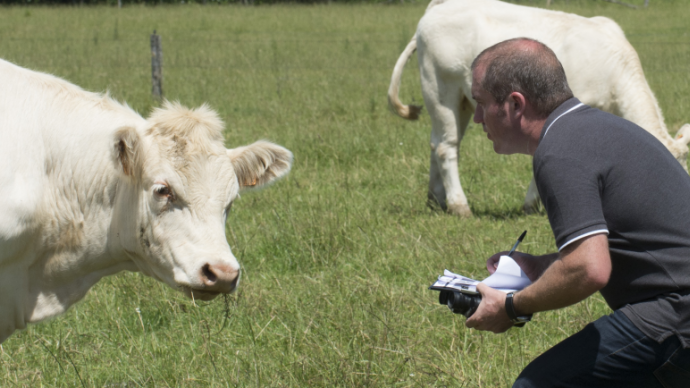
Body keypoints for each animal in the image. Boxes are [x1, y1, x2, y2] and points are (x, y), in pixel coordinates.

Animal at [388, 0, 688, 217]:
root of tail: (437, 7)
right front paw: (533, 204)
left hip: (460, 101)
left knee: (436, 143)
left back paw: (437, 199)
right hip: (441, 90)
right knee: (446, 146)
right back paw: (460, 206)